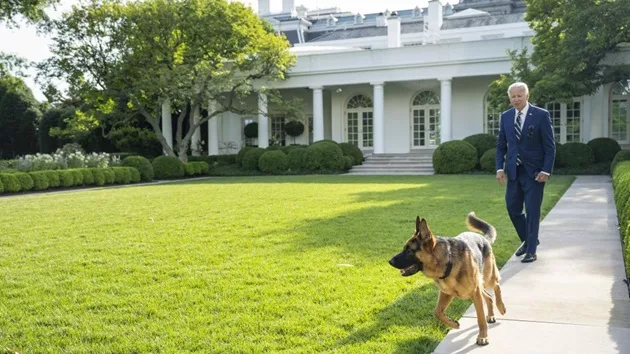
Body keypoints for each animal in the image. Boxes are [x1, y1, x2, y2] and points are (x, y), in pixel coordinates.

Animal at [390, 213, 508, 346]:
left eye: (409, 250)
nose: (390, 261)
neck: (447, 261)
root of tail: (483, 238)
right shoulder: (446, 293)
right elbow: (437, 312)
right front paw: (453, 324)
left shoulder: (475, 293)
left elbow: (480, 318)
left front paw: (483, 337)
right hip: (479, 286)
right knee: (488, 297)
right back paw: (491, 315)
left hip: (487, 279)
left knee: (497, 286)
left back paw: (501, 307)